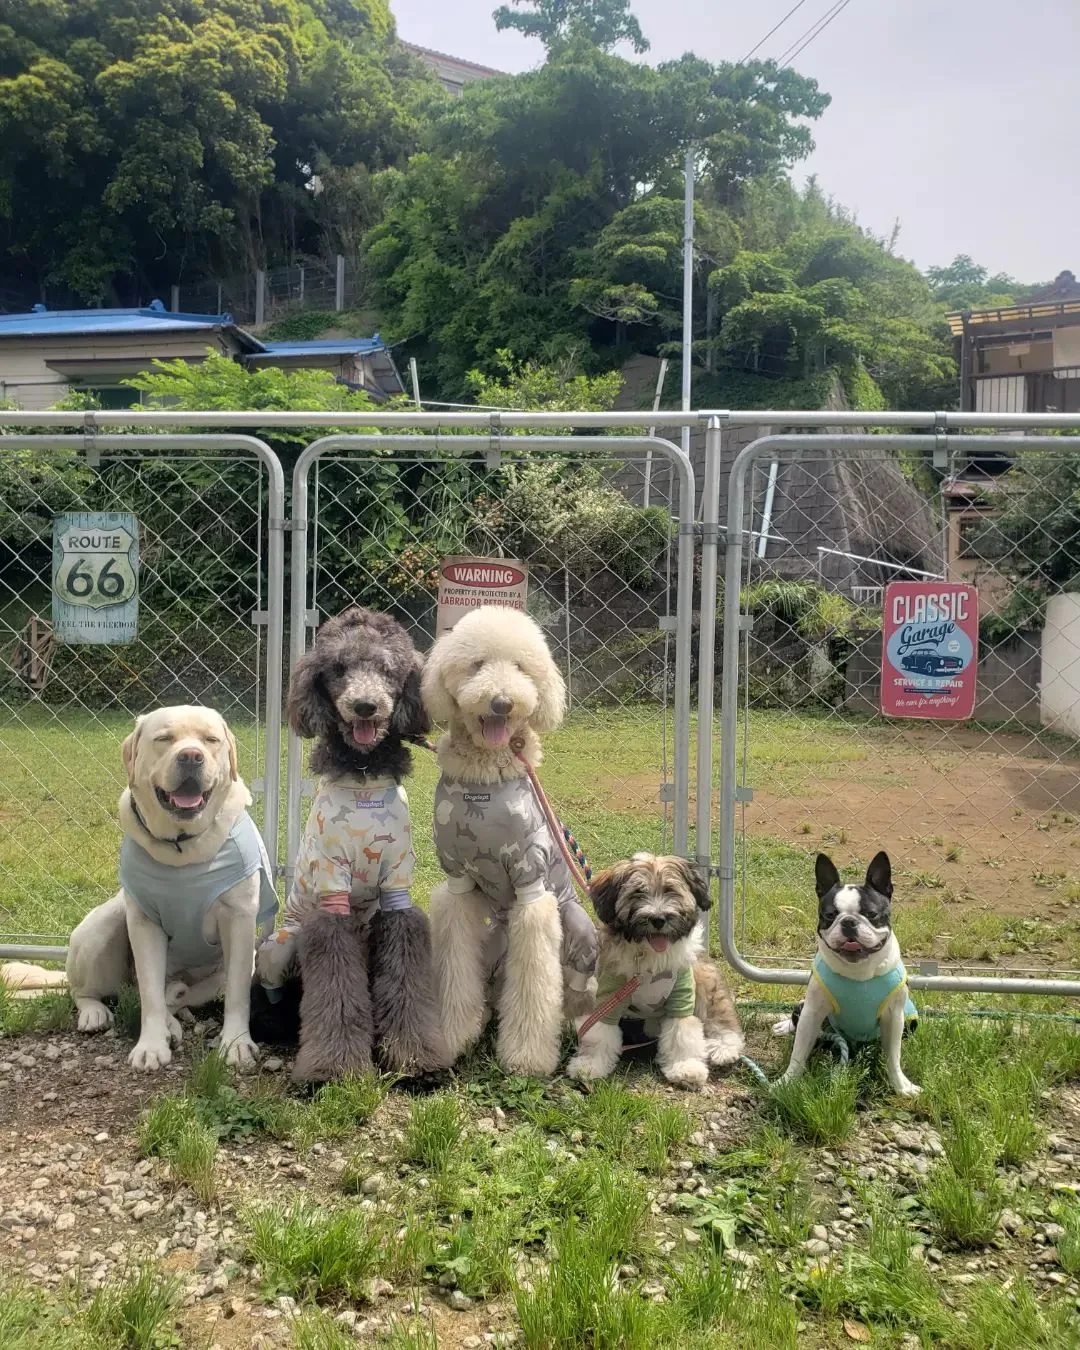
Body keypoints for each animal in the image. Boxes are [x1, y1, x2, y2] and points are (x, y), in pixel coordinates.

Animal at [564, 858, 745, 1090]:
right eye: (638, 893)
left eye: (670, 891)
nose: (658, 919)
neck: (648, 956)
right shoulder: (608, 996)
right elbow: (597, 1033)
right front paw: (590, 1064)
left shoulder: (681, 995)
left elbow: (682, 1032)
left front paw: (685, 1067)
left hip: (704, 977)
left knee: (720, 1017)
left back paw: (724, 1048)